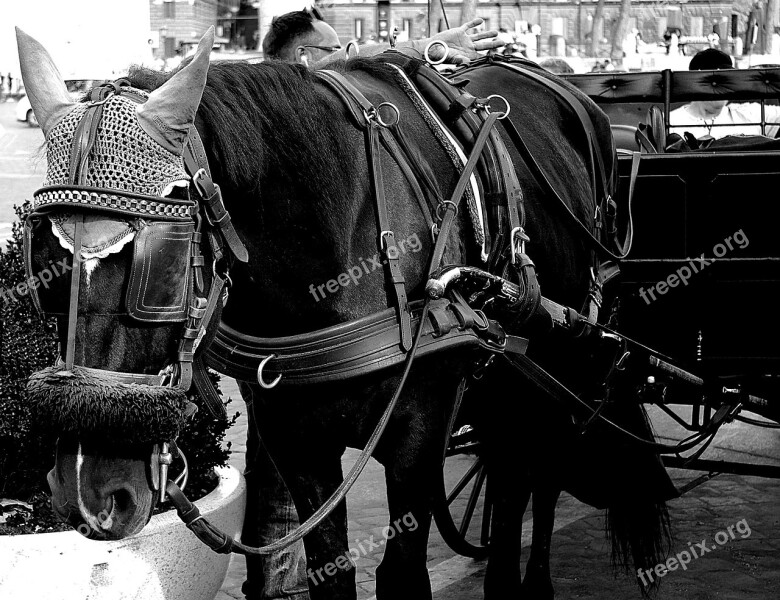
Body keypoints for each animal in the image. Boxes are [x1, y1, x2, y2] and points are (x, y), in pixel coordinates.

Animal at [19, 27, 676, 600]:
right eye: (46, 266)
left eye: (161, 267)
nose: (90, 491)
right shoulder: (295, 438)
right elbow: (330, 571)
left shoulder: (417, 434)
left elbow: (403, 576)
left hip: (561, 358)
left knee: (537, 472)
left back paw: (530, 582)